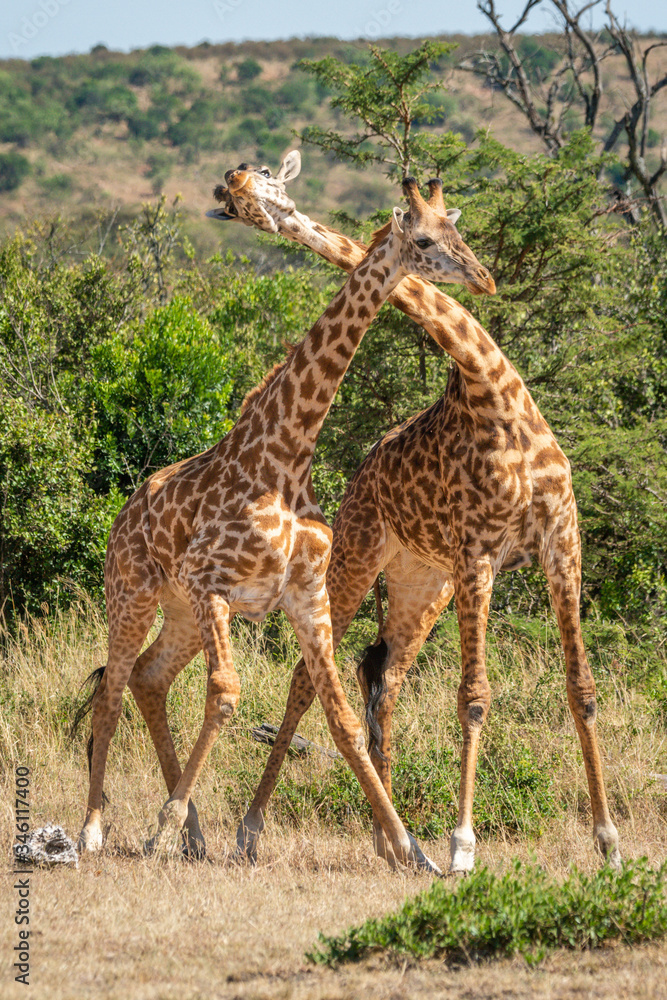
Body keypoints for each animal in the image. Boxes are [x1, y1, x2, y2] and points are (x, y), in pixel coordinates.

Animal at [75, 169, 495, 870]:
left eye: (456, 230)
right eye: (427, 239)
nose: (483, 278)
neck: (286, 454)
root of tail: (122, 517)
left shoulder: (305, 594)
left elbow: (343, 717)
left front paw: (410, 850)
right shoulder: (209, 581)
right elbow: (226, 694)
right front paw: (161, 827)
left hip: (180, 612)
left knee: (148, 678)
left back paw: (194, 836)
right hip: (132, 592)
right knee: (112, 691)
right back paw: (94, 830)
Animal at [208, 151, 621, 875]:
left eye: (455, 231)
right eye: (423, 240)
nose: (230, 191)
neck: (493, 393)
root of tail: (360, 474)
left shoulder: (561, 542)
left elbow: (582, 688)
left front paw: (607, 841)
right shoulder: (479, 552)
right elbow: (475, 697)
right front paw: (462, 847)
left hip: (420, 582)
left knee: (387, 674)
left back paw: (389, 840)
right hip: (358, 561)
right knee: (308, 679)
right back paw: (255, 829)